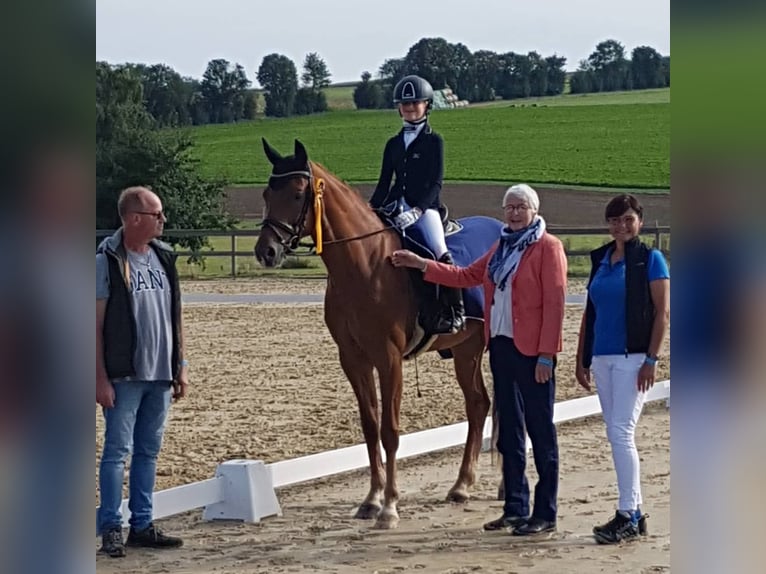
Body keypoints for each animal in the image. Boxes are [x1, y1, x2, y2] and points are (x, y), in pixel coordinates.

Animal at [255, 141, 496, 532]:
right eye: (266, 193)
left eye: (296, 194)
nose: (267, 252)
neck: (364, 263)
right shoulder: (353, 359)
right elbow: (370, 427)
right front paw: (370, 500)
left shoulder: (389, 358)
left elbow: (390, 431)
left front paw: (390, 507)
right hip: (464, 350)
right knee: (478, 404)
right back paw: (462, 486)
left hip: (478, 346)